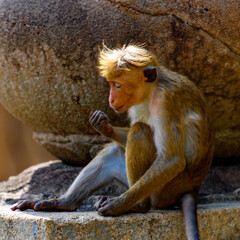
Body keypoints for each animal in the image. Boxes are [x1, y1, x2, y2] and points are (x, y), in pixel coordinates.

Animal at [10, 44, 214, 239]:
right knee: (115, 151)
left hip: (164, 190)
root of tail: (192, 188)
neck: (151, 91)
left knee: (139, 131)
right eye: (111, 84)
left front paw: (118, 204)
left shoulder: (167, 100)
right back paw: (64, 203)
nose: (111, 98)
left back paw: (139, 205)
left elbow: (172, 160)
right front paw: (103, 126)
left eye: (117, 85)